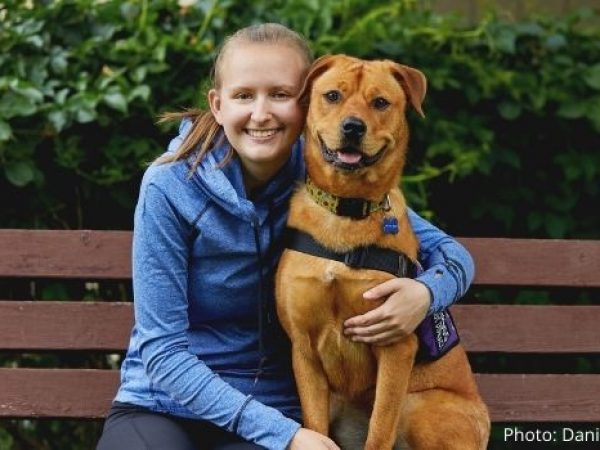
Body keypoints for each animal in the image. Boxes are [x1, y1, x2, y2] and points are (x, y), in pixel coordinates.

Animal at [274, 56, 490, 450]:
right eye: (332, 95)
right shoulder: (303, 350)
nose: (353, 127)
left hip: (418, 406)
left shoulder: (395, 346)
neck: (346, 212)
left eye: (380, 103)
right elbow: (314, 425)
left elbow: (380, 428)